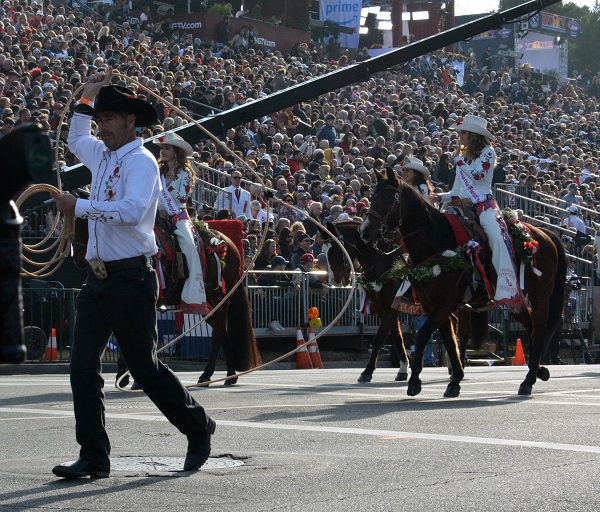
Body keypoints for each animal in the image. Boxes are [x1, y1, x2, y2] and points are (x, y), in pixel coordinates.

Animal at [358, 168, 568, 396]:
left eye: (388, 196)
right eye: (372, 196)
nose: (365, 230)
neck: (436, 241)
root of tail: (544, 234)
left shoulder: (446, 302)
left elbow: (424, 336)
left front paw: (414, 382)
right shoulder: (431, 304)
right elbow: (448, 340)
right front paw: (455, 379)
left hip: (540, 295)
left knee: (538, 332)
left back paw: (528, 381)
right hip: (513, 299)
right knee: (531, 328)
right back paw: (539, 371)